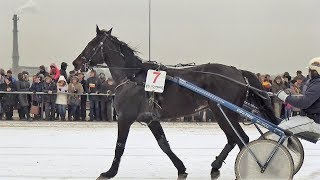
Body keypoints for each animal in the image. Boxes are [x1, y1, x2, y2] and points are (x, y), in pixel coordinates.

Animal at [72, 26, 278, 179]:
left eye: (91, 44)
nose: (76, 63)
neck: (133, 77)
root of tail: (238, 72)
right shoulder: (151, 119)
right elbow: (164, 144)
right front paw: (181, 168)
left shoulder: (125, 117)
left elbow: (119, 147)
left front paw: (109, 172)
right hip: (224, 113)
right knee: (233, 139)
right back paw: (215, 166)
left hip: (223, 112)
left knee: (241, 139)